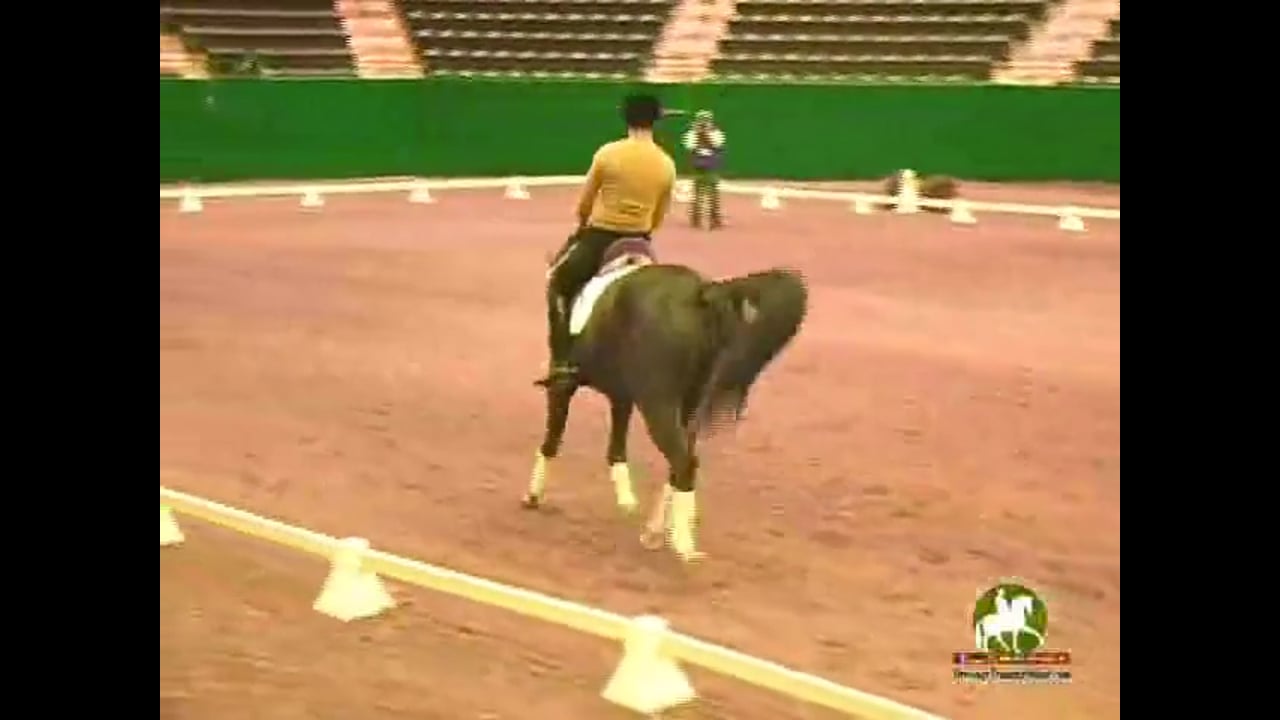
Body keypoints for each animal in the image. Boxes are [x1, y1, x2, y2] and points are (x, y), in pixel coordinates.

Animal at [521, 240, 808, 562]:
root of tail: (700, 294)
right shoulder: (622, 395)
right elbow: (616, 447)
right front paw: (627, 499)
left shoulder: (564, 387)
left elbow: (552, 438)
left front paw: (533, 495)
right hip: (689, 404)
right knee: (683, 462)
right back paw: (657, 532)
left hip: (659, 404)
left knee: (683, 462)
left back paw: (684, 545)